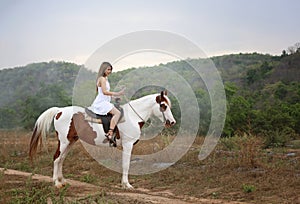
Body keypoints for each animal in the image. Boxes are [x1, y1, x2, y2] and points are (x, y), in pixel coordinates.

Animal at [29, 91, 175, 190]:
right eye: (163, 106)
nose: (172, 122)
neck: (132, 117)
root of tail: (59, 111)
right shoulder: (128, 145)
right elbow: (126, 165)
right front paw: (126, 184)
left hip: (70, 142)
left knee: (61, 159)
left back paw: (62, 180)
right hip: (64, 142)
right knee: (56, 158)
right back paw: (56, 182)